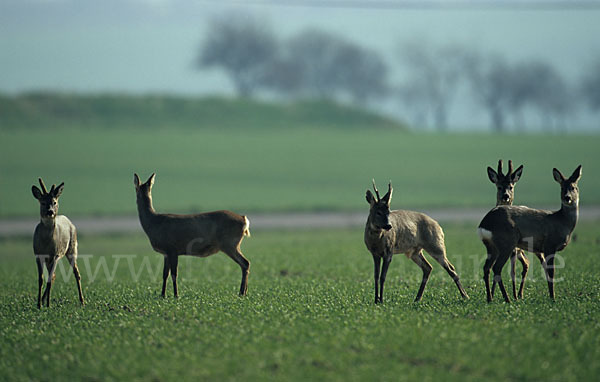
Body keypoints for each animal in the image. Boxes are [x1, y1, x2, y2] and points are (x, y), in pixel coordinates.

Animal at [31, 178, 84, 308]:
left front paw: (48, 305)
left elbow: (49, 279)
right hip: (50, 259)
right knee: (54, 275)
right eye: (42, 202)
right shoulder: (38, 255)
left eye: (54, 202)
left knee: (76, 273)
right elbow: (41, 279)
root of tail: (68, 220)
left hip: (72, 249)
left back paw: (82, 301)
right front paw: (39, 304)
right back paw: (43, 299)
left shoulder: (55, 255)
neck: (45, 243)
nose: (50, 211)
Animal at [478, 166, 580, 302]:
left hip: (492, 247)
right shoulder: (549, 245)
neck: (562, 221)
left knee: (487, 268)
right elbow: (551, 272)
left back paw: (490, 298)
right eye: (562, 187)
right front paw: (553, 298)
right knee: (497, 268)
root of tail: (484, 223)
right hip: (506, 243)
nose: (567, 197)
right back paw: (507, 298)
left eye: (573, 187)